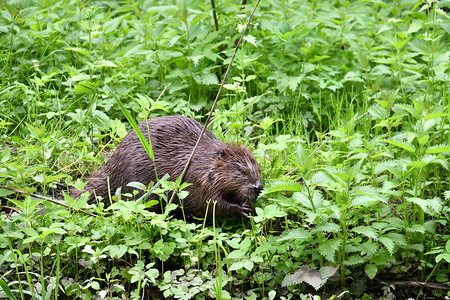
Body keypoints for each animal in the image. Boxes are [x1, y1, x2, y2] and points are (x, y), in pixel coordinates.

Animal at [70, 115, 264, 218]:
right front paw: (242, 207)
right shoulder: (196, 179)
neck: (202, 159)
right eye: (241, 171)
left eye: (258, 169)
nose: (258, 187)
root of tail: (111, 169)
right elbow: (208, 203)